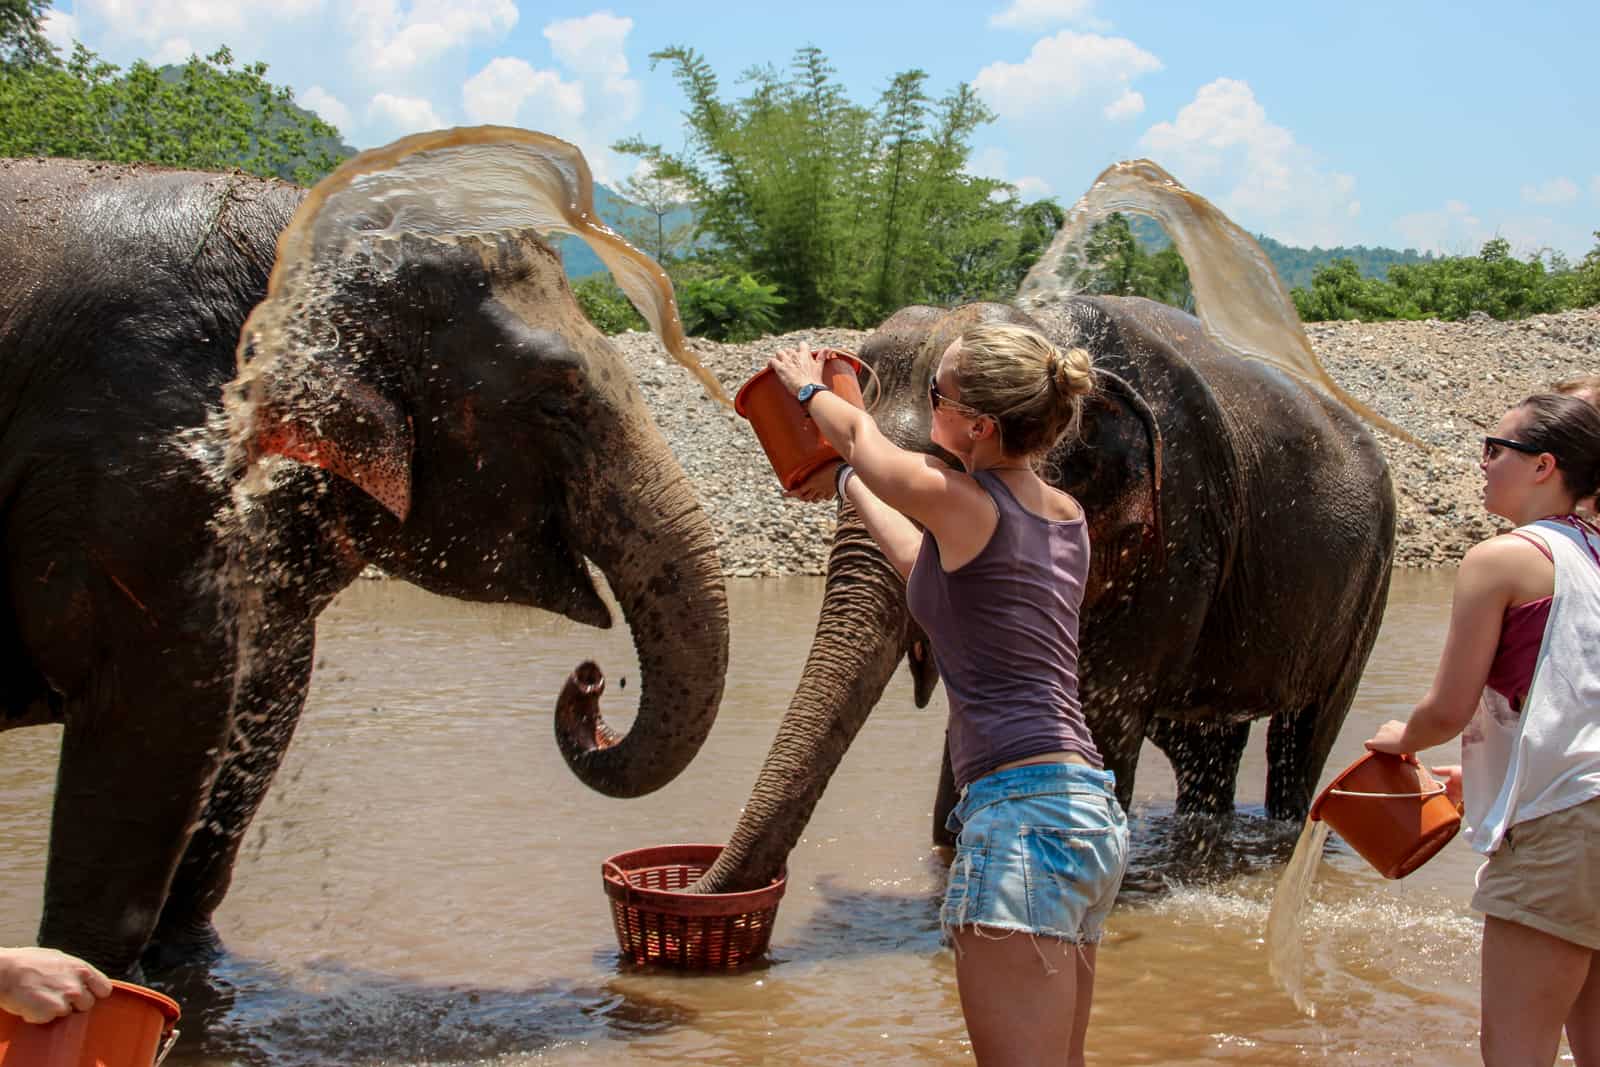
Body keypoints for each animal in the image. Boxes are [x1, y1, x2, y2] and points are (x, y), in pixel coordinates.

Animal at [0, 139, 726, 979]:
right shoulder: (144, 469)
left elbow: (263, 700)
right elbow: (158, 710)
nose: (591, 682)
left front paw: (193, 973)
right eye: (557, 396)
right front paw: (100, 984)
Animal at [694, 292, 1395, 895]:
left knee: (1302, 739)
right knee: (1205, 745)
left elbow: (1101, 715)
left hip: (1369, 584)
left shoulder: (1175, 535)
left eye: (940, 478)